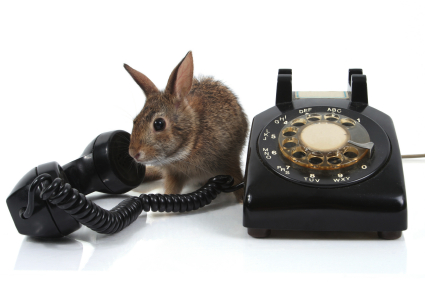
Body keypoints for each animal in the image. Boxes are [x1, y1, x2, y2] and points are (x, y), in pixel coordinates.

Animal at [124, 51, 247, 203]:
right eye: (135, 121)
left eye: (159, 124)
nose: (133, 153)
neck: (192, 140)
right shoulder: (174, 174)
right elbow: (172, 189)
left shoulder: (230, 160)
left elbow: (237, 178)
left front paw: (242, 200)